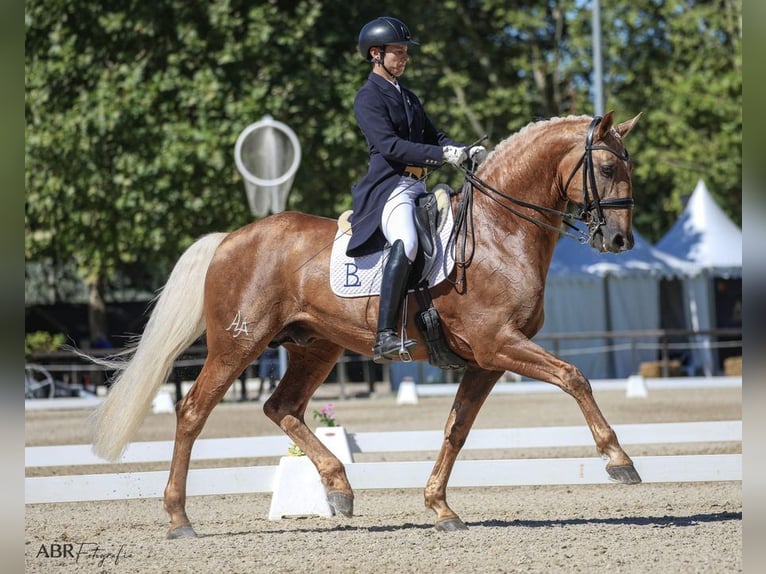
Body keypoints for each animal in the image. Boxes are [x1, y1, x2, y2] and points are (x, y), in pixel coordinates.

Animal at [88, 109, 640, 540]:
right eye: (607, 166)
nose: (618, 241)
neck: (497, 234)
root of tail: (229, 238)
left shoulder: (485, 360)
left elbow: (456, 429)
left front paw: (440, 507)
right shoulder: (499, 344)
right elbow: (574, 376)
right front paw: (619, 460)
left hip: (316, 347)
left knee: (281, 406)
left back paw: (339, 489)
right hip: (237, 345)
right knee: (192, 413)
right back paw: (179, 518)